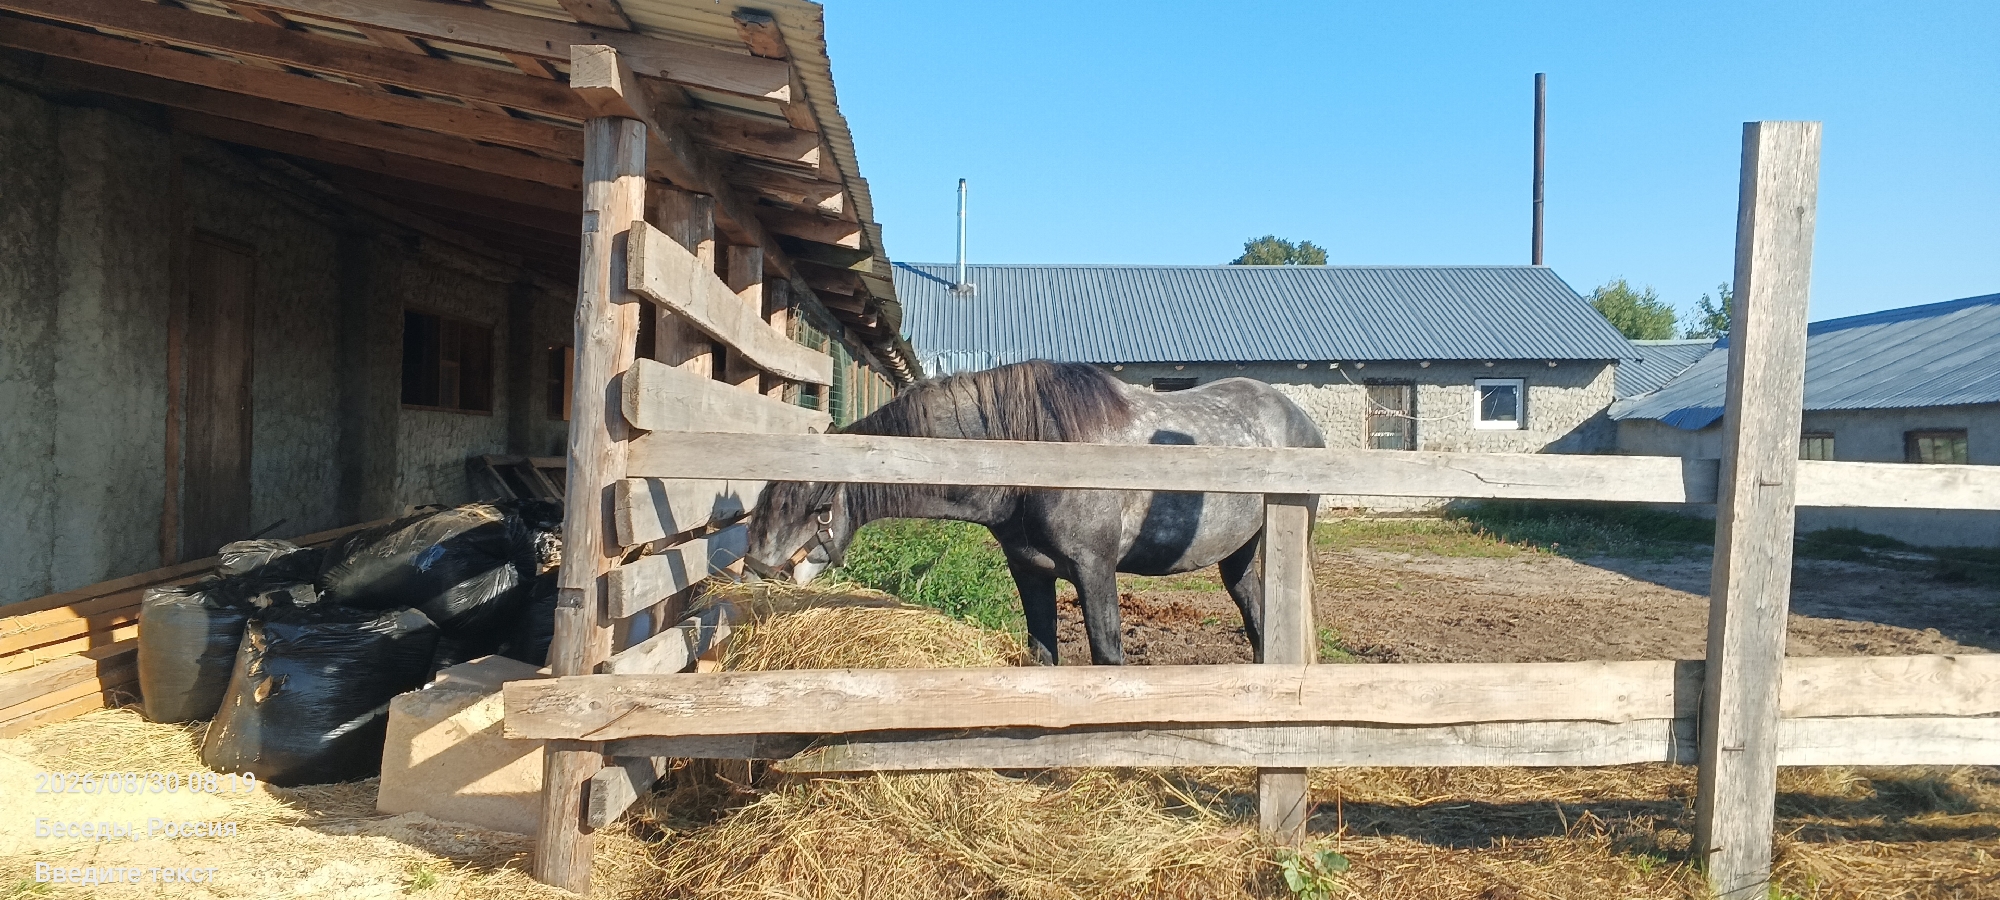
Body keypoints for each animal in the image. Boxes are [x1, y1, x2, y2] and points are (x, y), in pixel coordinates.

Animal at [744, 360, 1326, 665]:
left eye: (819, 504)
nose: (758, 570)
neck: (1038, 452)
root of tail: (1302, 420)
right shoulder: (1029, 571)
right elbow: (1042, 657)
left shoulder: (1095, 570)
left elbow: (1107, 656)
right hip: (1241, 557)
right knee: (1258, 620)